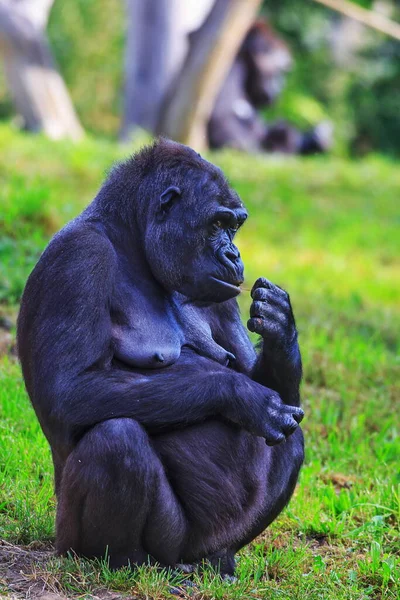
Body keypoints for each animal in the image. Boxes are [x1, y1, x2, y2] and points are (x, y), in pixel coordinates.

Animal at [15, 138, 304, 576]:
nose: (235, 255)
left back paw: (218, 560)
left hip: (204, 544)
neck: (131, 241)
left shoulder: (221, 295)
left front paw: (281, 327)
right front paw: (243, 397)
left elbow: (268, 388)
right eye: (217, 225)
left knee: (292, 439)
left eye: (235, 227)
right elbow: (70, 392)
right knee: (118, 440)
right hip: (87, 541)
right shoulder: (79, 257)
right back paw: (119, 562)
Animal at [208, 21, 332, 155]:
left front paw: (313, 139)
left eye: (283, 73)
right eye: (279, 71)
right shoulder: (231, 67)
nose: (280, 84)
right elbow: (223, 120)